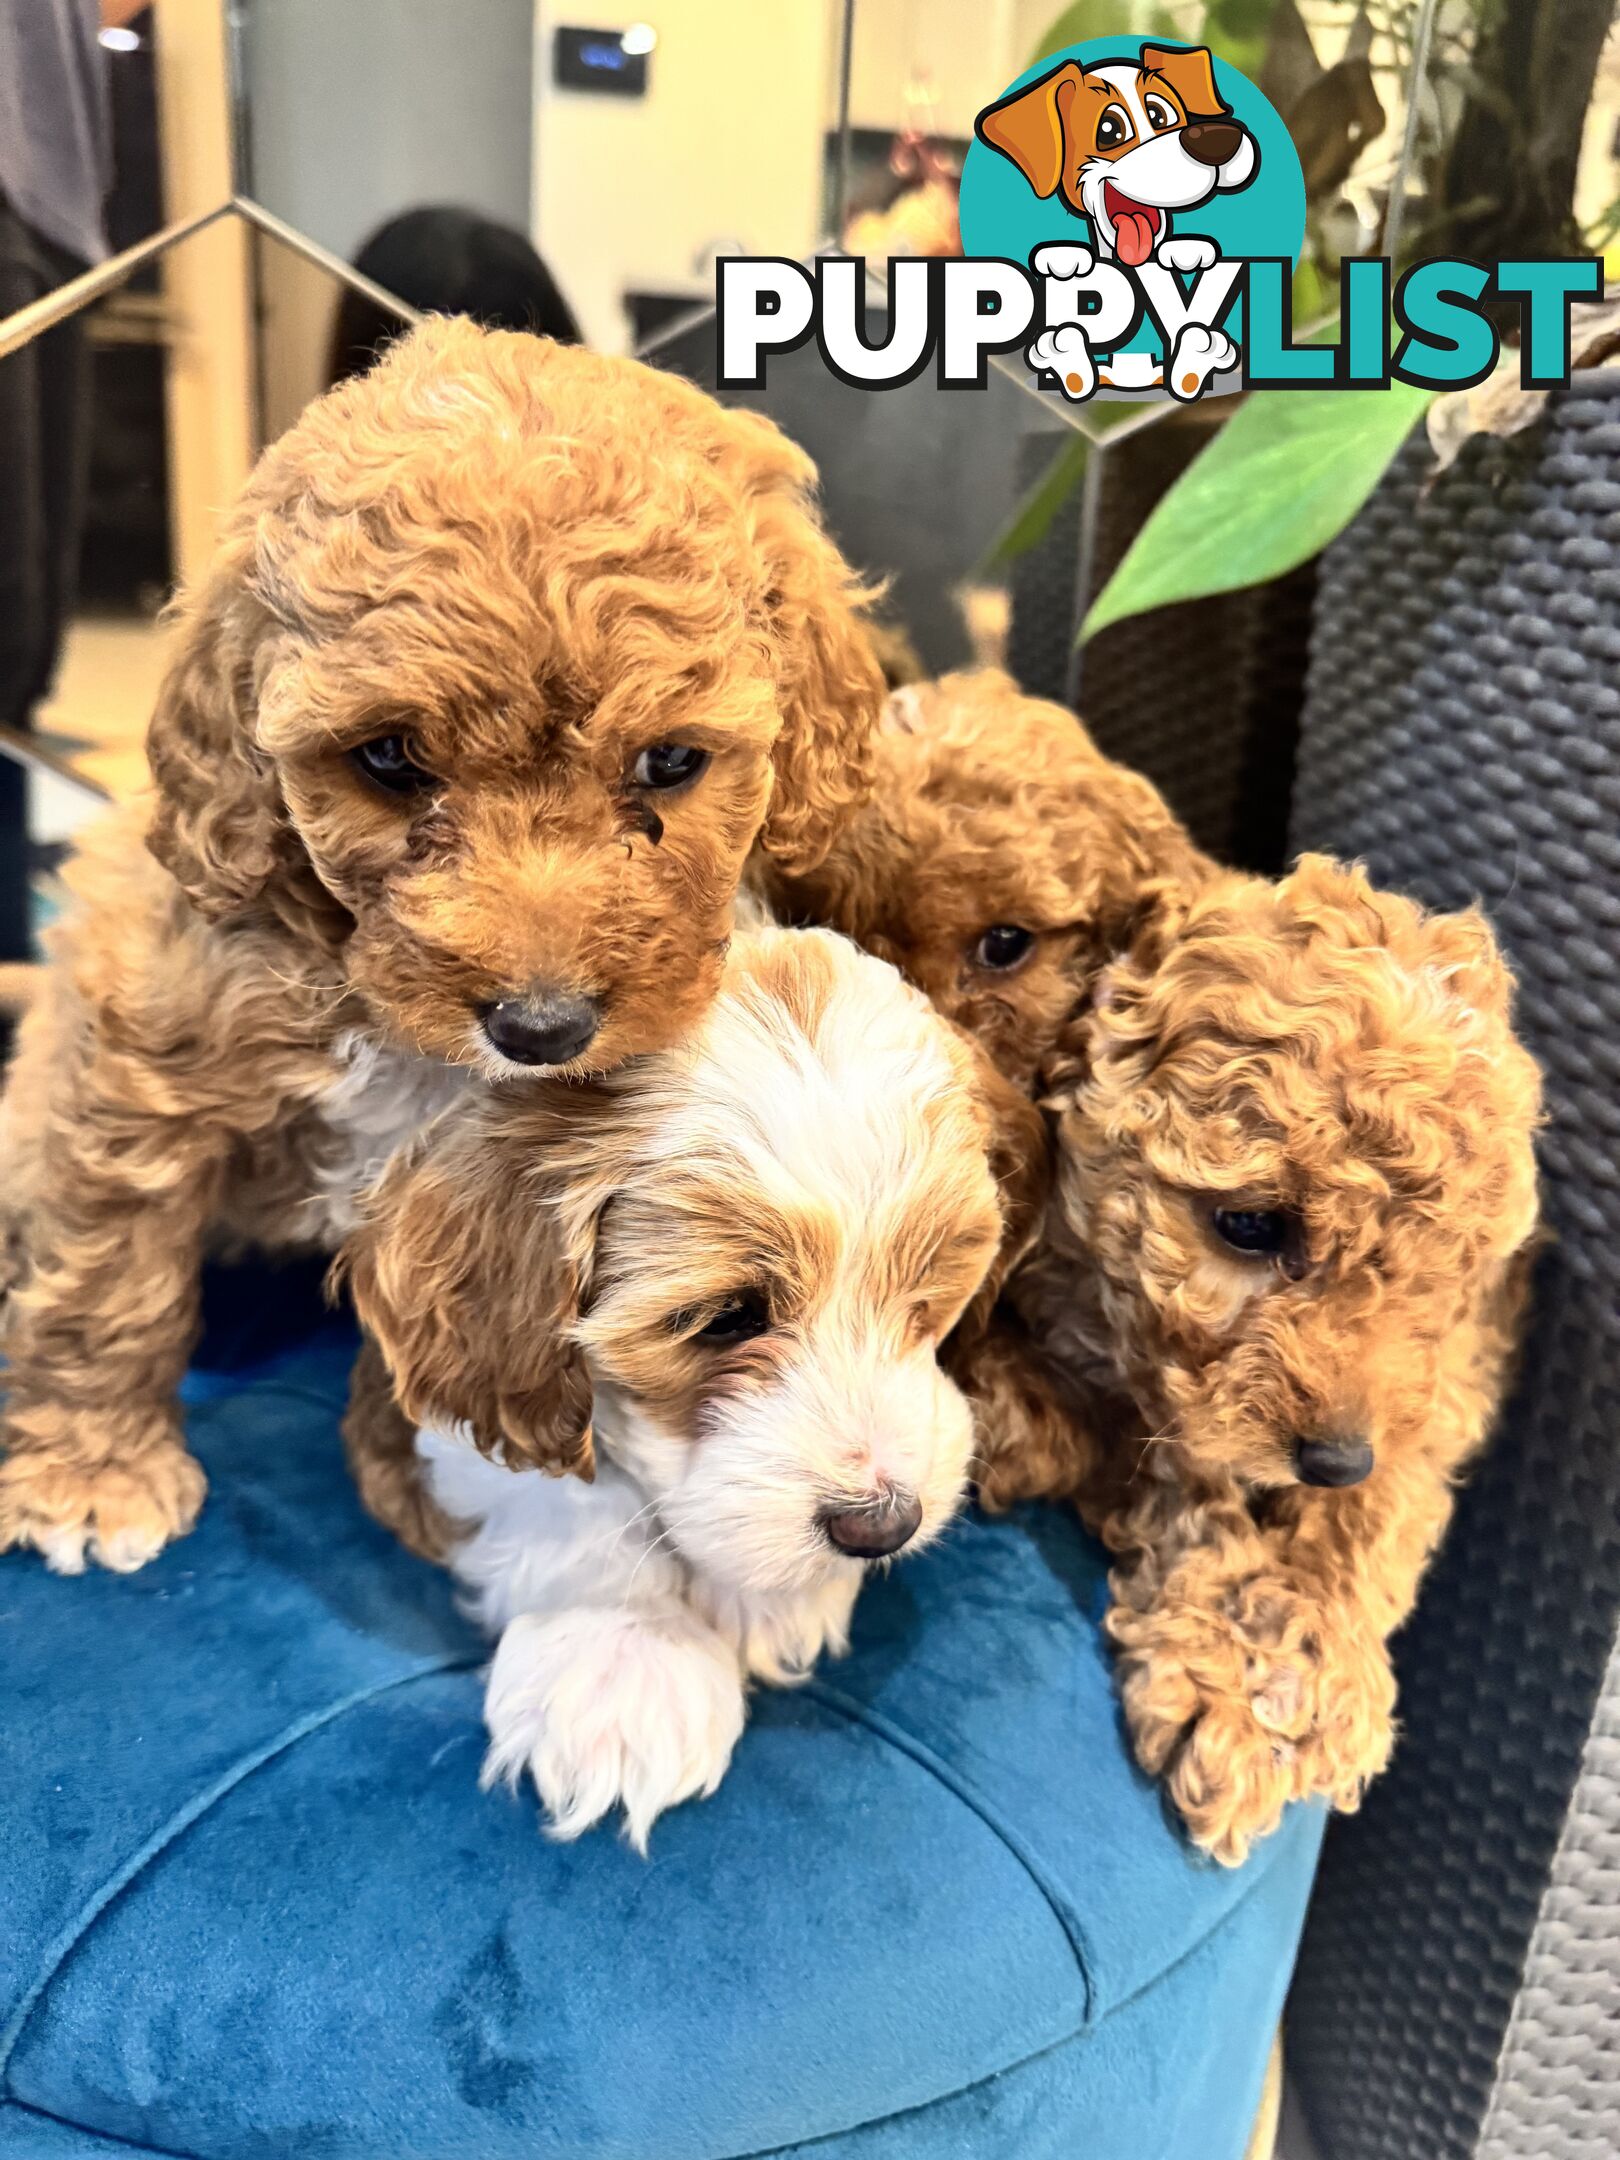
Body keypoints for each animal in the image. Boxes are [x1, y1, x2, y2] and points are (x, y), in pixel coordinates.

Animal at [347, 920, 1032, 1848]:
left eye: (927, 1294)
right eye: (726, 1319)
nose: (883, 1526)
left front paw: (767, 1596)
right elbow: (565, 1497)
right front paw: (626, 1653)